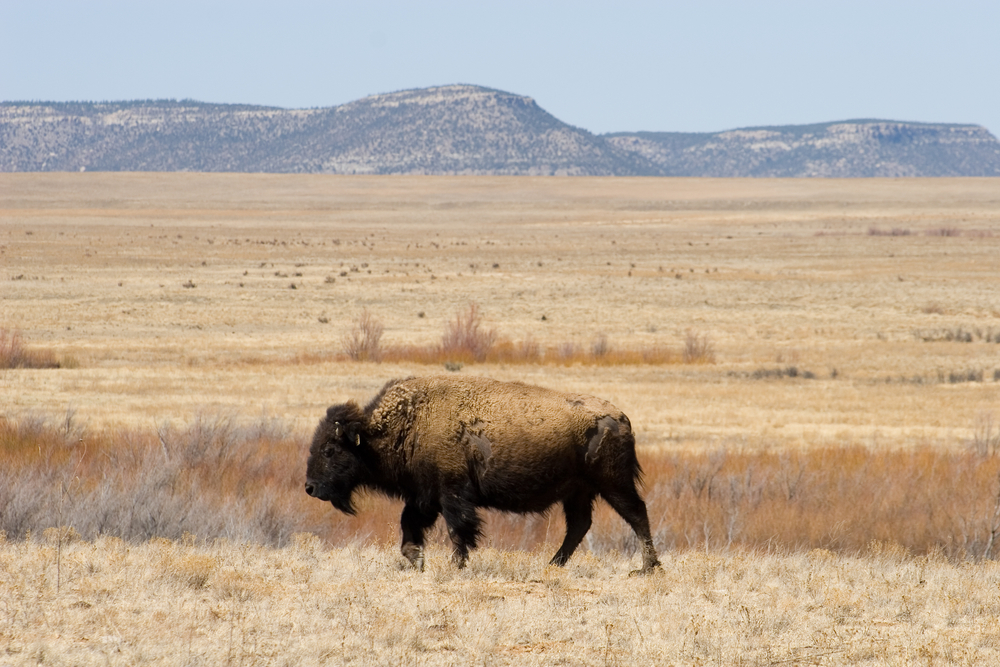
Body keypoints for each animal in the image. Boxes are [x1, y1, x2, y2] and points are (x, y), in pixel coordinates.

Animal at [308, 376, 660, 576]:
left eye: (330, 450)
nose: (310, 487)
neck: (410, 421)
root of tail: (621, 417)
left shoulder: (451, 495)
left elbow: (458, 530)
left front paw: (455, 565)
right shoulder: (424, 497)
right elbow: (411, 527)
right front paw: (417, 561)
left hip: (613, 484)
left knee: (636, 514)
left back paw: (646, 568)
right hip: (578, 492)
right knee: (579, 525)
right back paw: (553, 565)